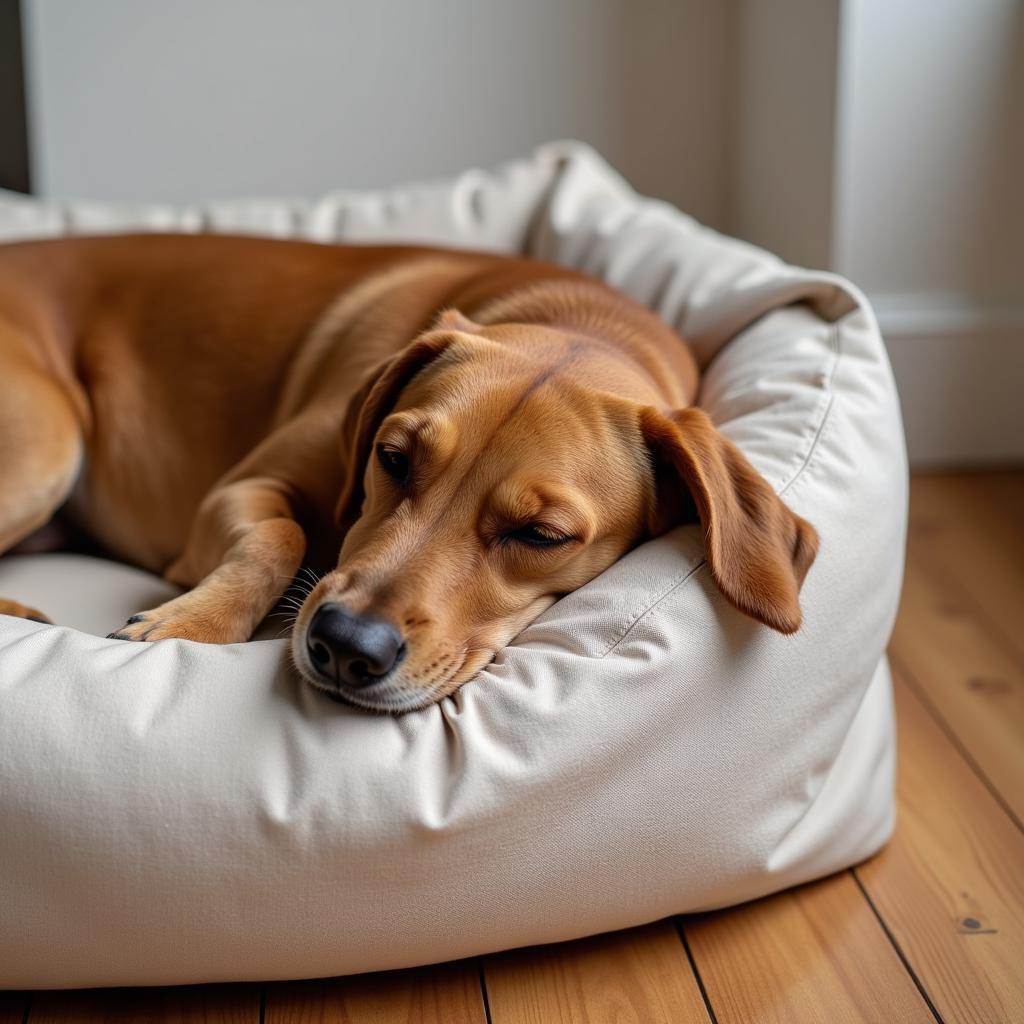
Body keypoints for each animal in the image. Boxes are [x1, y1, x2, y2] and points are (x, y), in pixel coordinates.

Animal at [0, 234, 815, 708]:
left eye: (541, 534)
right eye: (392, 458)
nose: (345, 647)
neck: (581, 323)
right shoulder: (236, 492)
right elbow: (280, 537)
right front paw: (191, 623)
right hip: (46, 447)